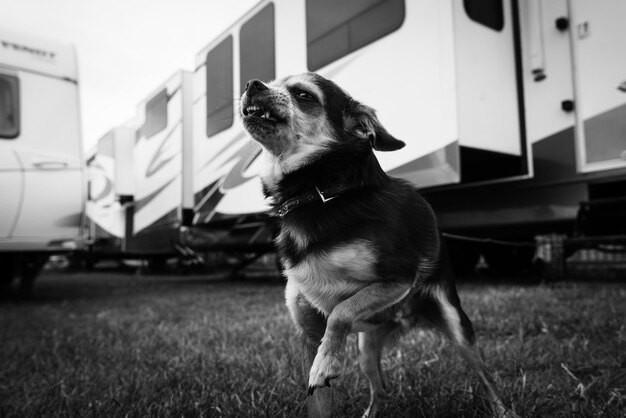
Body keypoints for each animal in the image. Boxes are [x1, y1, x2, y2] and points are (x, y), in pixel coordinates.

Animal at [239, 73, 512, 416]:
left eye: (304, 95)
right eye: (273, 81)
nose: (252, 84)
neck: (320, 192)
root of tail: (406, 318)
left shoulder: (398, 278)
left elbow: (340, 311)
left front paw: (327, 362)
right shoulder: (309, 333)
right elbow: (318, 400)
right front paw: (324, 366)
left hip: (456, 325)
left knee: (487, 378)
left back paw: (504, 410)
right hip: (367, 347)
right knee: (380, 389)